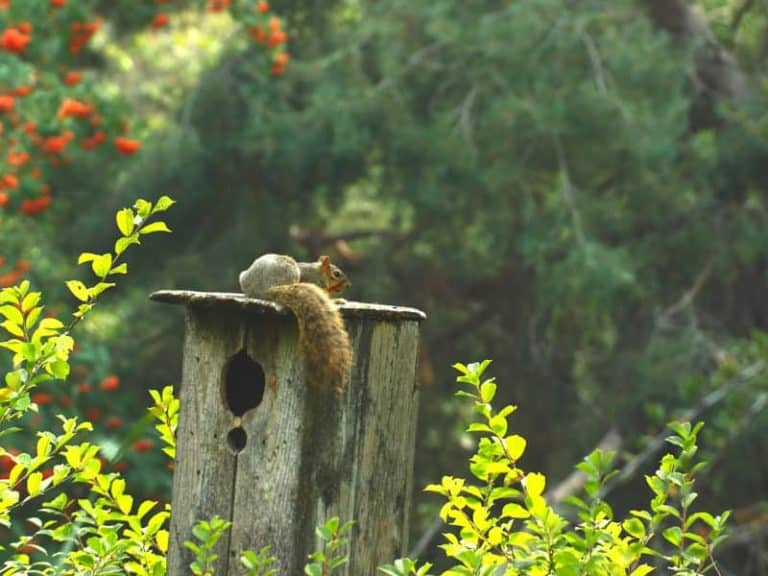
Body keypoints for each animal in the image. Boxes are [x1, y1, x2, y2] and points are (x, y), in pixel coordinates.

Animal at [238, 254, 352, 394]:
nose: (348, 285)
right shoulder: (313, 282)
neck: (317, 272)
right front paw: (338, 301)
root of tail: (265, 289)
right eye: (336, 274)